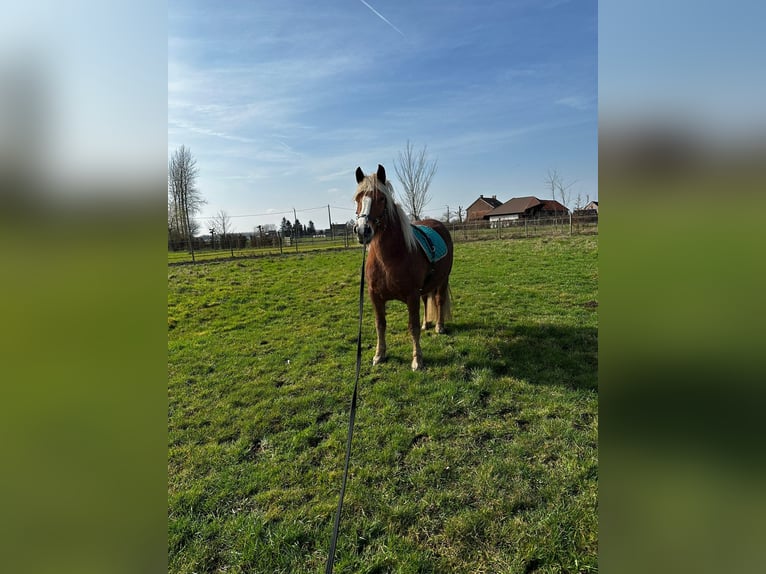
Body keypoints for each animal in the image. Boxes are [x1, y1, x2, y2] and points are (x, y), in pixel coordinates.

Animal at [353, 164, 454, 371]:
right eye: (358, 198)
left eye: (381, 198)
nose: (362, 230)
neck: (388, 259)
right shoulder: (375, 296)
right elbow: (380, 324)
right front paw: (379, 355)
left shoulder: (411, 295)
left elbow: (412, 328)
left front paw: (417, 360)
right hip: (425, 287)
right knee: (427, 301)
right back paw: (426, 324)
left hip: (442, 279)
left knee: (439, 300)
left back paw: (439, 327)